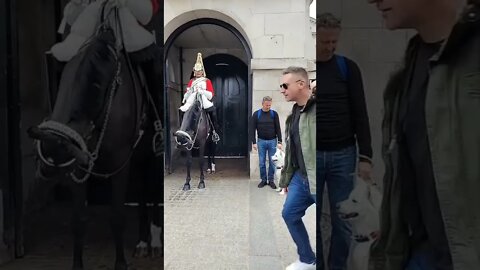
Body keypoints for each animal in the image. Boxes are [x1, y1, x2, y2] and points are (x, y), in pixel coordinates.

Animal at [26, 12, 161, 270]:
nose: (42, 175)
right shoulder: (80, 167)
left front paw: (121, 264)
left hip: (150, 154)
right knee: (142, 193)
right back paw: (142, 241)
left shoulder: (120, 163)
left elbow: (117, 216)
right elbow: (79, 220)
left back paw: (154, 239)